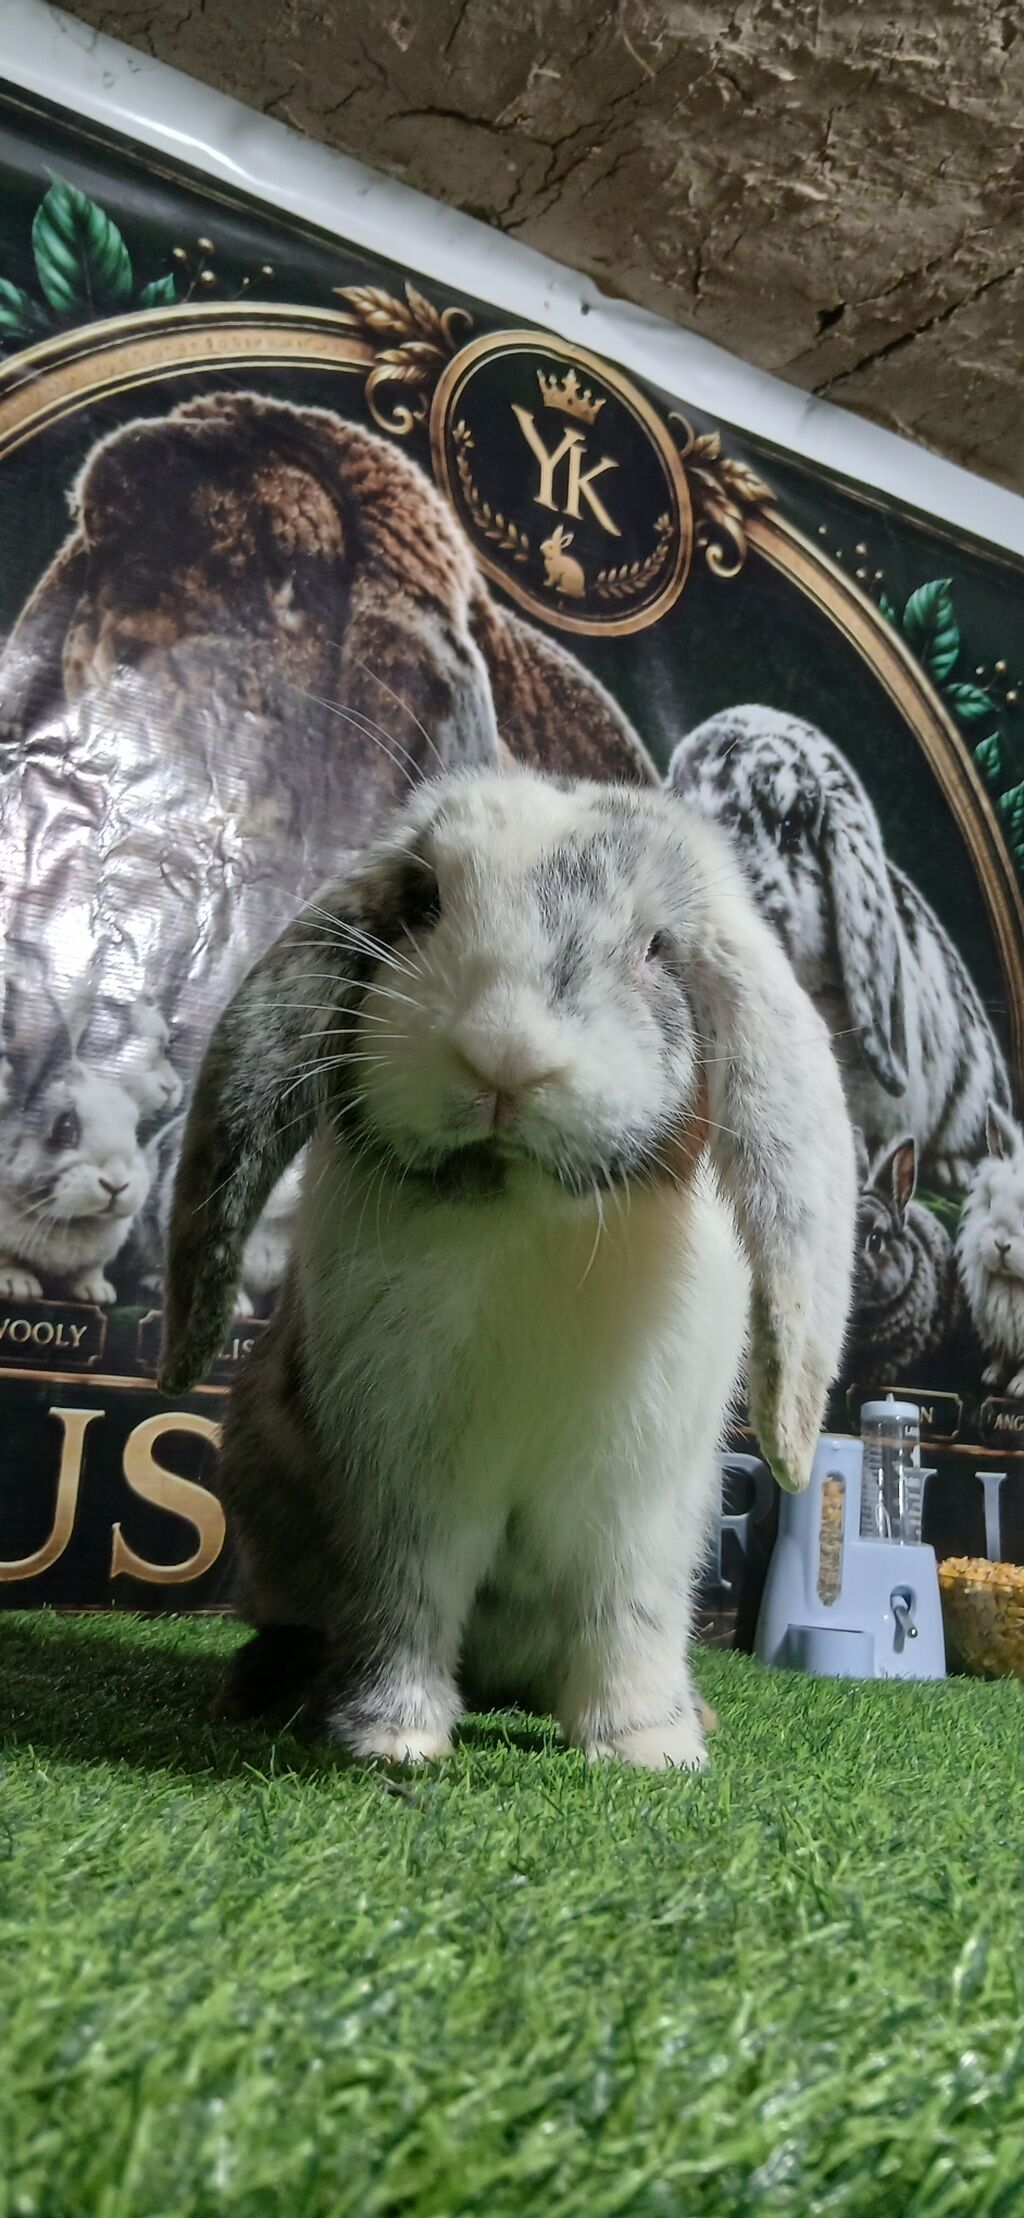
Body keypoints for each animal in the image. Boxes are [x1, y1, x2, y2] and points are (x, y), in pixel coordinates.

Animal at [0, 978, 149, 1303]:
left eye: (136, 1132)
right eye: (65, 1126)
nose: (116, 1185)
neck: (73, 1222)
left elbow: (90, 1270)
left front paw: (98, 1294)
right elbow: (6, 1259)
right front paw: (18, 1285)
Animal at [159, 764, 856, 1770]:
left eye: (657, 948)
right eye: (422, 902)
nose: (505, 1055)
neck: (526, 1214)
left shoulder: (637, 1500)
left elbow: (627, 1614)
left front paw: (651, 1751)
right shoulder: (405, 1477)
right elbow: (407, 1601)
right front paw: (391, 1740)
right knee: (300, 1622)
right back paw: (262, 1688)